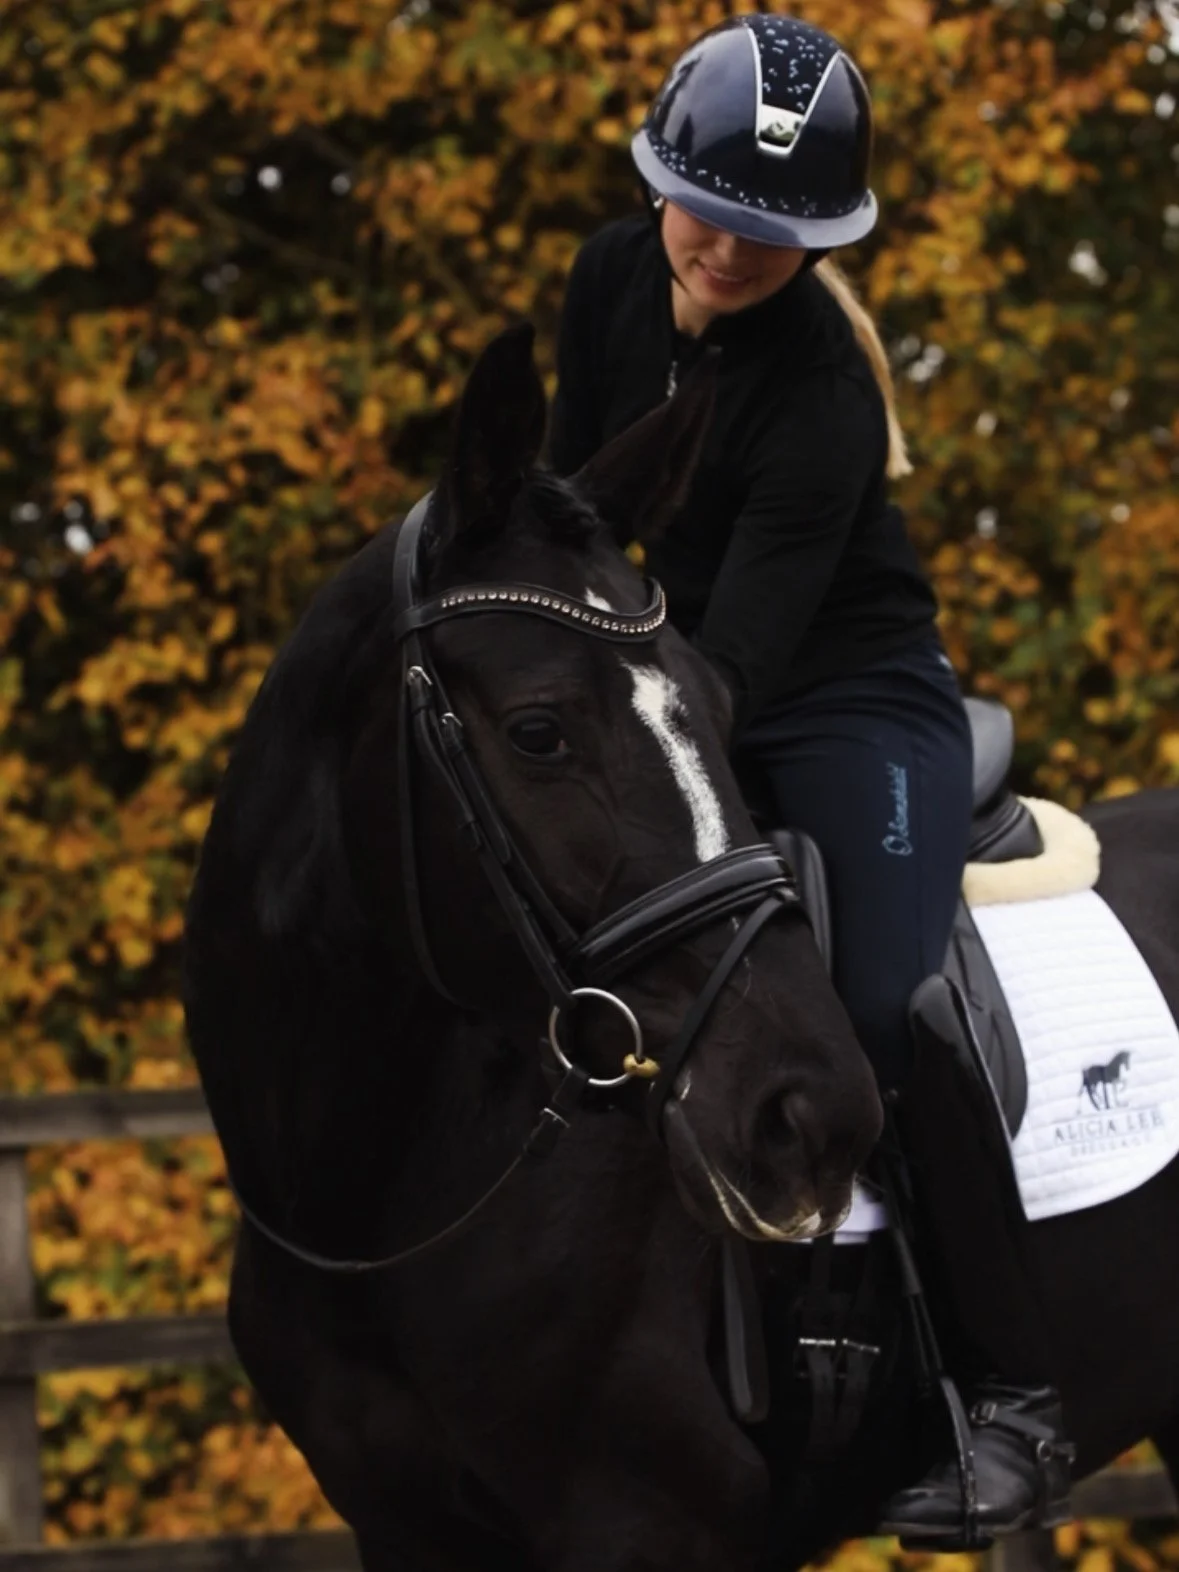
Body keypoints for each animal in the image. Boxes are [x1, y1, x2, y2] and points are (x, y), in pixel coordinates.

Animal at [184, 324, 1179, 1571]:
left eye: (719, 698)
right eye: (537, 731)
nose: (811, 1120)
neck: (376, 1202)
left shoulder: (643, 1518)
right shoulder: (402, 1523)